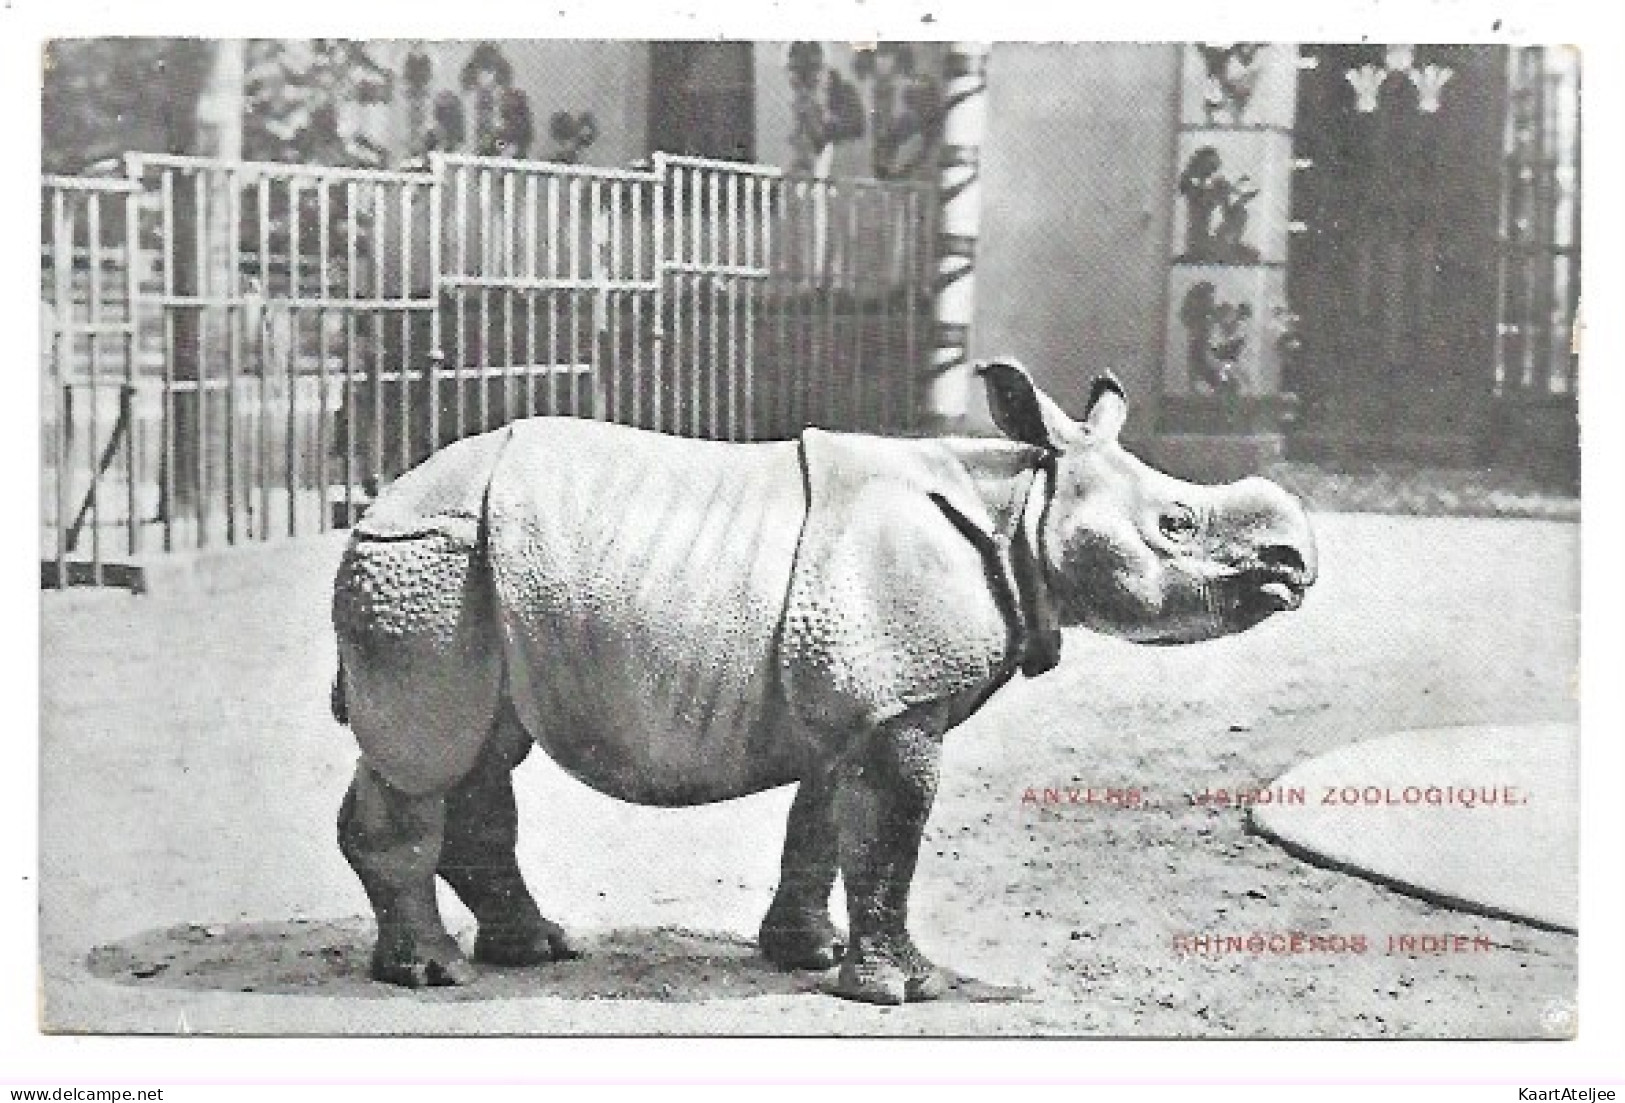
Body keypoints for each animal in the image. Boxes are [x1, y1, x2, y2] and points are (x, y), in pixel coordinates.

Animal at [329, 360, 1317, 1004]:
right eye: (1177, 524)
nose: (1296, 565)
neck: (1020, 506)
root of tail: (380, 499)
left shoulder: (860, 696)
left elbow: (825, 826)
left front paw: (807, 956)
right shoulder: (899, 699)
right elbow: (892, 832)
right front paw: (907, 989)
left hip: (472, 570)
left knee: (482, 748)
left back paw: (535, 950)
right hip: (430, 557)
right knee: (427, 753)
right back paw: (433, 974)